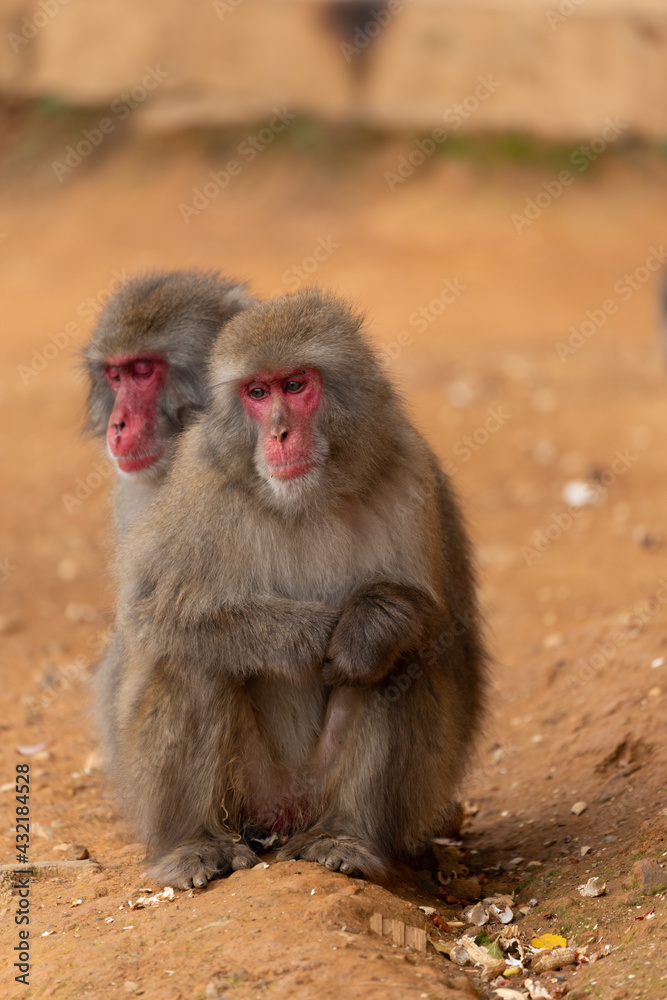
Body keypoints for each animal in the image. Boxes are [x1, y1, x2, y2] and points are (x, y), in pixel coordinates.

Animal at [99, 288, 487, 888]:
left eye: (296, 385)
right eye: (258, 393)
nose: (280, 433)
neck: (307, 498)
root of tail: (287, 813)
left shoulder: (409, 472)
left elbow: (439, 625)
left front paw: (366, 628)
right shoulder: (201, 482)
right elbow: (153, 612)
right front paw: (305, 635)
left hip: (324, 788)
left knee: (398, 663)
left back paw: (348, 836)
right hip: (250, 790)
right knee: (191, 658)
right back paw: (192, 844)